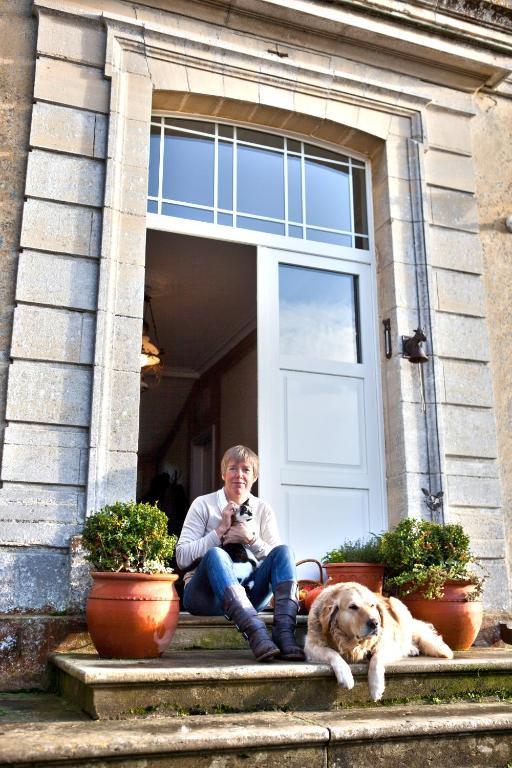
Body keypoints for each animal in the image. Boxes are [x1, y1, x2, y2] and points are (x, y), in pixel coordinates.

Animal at [304, 584, 452, 704]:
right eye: (353, 607)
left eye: (372, 606)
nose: (375, 623)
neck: (352, 642)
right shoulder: (311, 646)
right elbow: (332, 653)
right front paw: (345, 675)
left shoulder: (389, 645)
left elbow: (376, 658)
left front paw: (376, 687)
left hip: (398, 606)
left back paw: (411, 648)